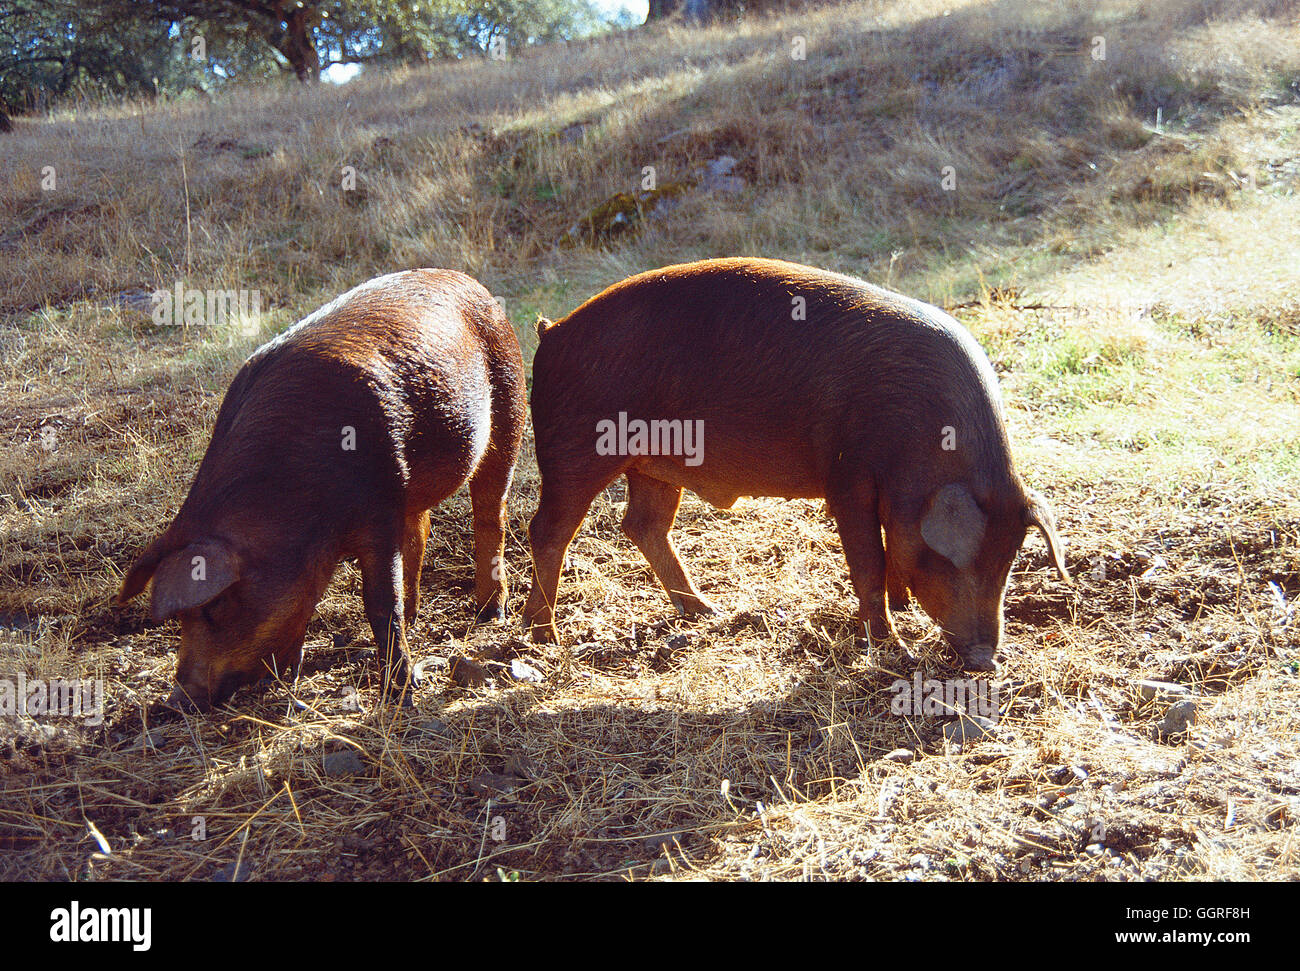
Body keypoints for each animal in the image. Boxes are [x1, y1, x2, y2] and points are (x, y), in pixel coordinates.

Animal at [119, 269, 525, 712]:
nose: (176, 699)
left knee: (490, 512)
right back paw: (419, 614)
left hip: (510, 404)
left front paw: (401, 694)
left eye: (215, 607)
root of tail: (470, 282)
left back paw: (490, 613)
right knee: (421, 531)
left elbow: (380, 603)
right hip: (415, 487)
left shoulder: (379, 509)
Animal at [522, 254, 1071, 670]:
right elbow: (868, 559)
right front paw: (894, 647)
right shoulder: (848, 477)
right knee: (549, 529)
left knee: (642, 525)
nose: (986, 660)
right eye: (960, 560)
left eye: (1007, 561)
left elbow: (891, 551)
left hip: (653, 466)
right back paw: (545, 635)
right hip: (573, 451)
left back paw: (705, 611)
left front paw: (901, 611)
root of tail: (552, 333)